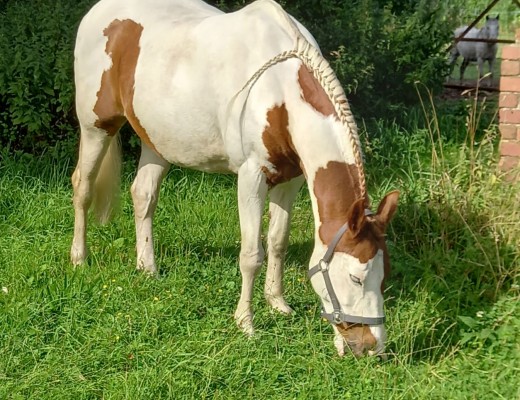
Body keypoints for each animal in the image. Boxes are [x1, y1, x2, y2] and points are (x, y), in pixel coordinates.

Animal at [71, 0, 400, 358]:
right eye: (356, 278)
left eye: (384, 275)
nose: (372, 348)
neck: (279, 94)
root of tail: (98, 12)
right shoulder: (251, 177)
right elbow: (251, 254)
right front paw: (246, 323)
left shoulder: (290, 180)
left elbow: (278, 242)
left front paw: (278, 303)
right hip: (96, 127)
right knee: (82, 188)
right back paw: (79, 259)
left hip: (154, 140)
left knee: (143, 194)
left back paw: (148, 269)